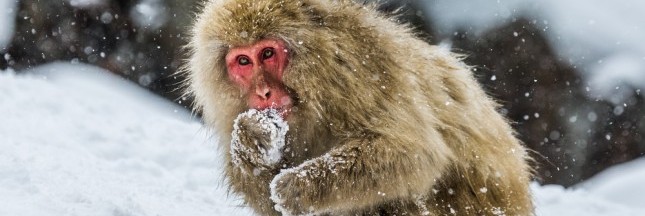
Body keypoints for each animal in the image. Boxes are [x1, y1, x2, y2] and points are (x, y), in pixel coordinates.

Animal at [185, 0, 532, 216]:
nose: (263, 92)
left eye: (267, 53)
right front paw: (250, 141)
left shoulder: (360, 73)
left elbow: (415, 154)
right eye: (243, 61)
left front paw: (297, 188)